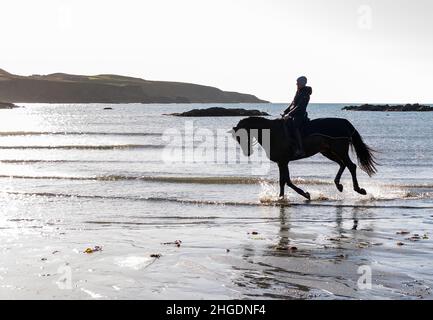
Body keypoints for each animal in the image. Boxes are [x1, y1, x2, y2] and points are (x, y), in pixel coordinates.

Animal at [231, 116, 376, 199]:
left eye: (242, 135)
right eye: (237, 138)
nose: (247, 152)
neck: (273, 133)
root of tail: (345, 123)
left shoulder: (283, 161)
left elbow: (285, 181)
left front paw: (301, 195)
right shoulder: (282, 162)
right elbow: (285, 180)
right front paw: (284, 197)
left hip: (339, 149)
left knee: (351, 166)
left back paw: (359, 190)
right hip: (327, 151)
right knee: (343, 164)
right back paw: (338, 185)